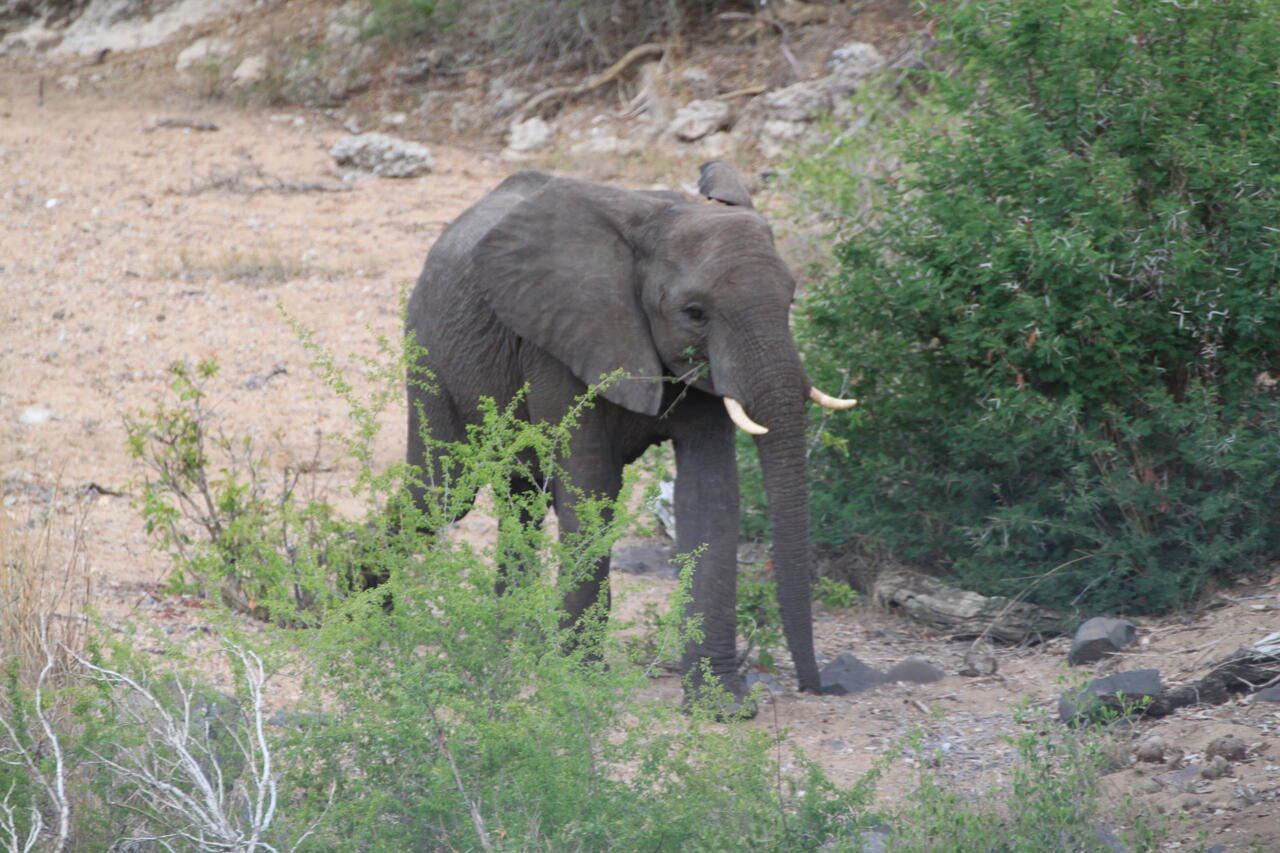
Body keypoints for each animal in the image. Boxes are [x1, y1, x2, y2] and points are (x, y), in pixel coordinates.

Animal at [404, 161, 854, 706]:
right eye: (695, 313)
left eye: (791, 298)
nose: (818, 688)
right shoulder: (559, 341)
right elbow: (591, 486)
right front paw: (578, 685)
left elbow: (709, 496)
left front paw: (721, 705)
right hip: (428, 348)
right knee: (441, 496)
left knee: (520, 496)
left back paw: (511, 644)